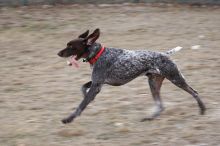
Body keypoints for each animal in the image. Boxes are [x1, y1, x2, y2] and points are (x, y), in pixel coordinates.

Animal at [57, 28, 205, 123]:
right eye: (67, 44)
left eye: (71, 46)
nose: (58, 53)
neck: (97, 54)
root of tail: (164, 54)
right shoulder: (97, 82)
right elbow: (83, 88)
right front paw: (85, 96)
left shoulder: (97, 85)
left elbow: (81, 105)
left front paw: (69, 118)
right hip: (154, 84)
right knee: (160, 105)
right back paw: (149, 118)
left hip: (175, 78)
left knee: (194, 92)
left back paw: (202, 109)